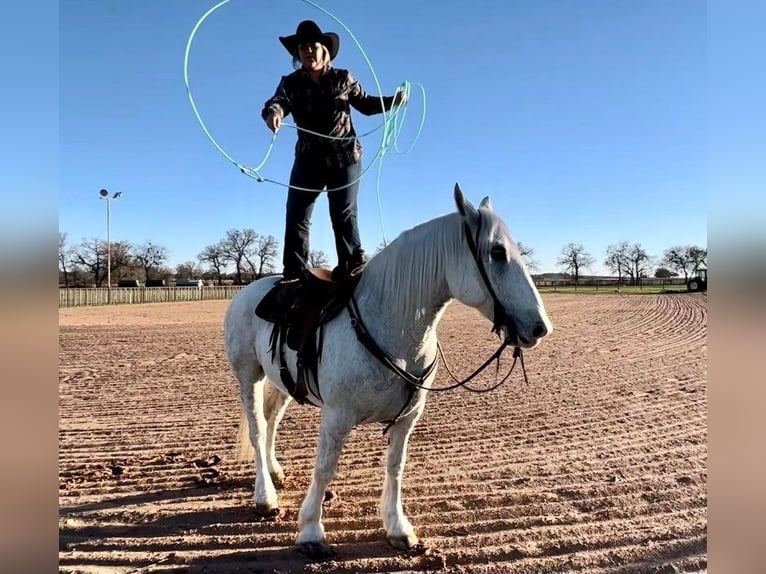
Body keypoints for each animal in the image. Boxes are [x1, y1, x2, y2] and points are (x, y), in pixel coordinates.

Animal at [225, 187, 556, 560]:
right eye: (497, 252)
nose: (540, 327)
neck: (387, 322)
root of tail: (252, 290)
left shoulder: (408, 417)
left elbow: (395, 467)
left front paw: (398, 528)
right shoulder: (337, 416)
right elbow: (325, 468)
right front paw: (311, 530)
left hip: (283, 383)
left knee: (271, 423)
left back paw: (274, 472)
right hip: (248, 375)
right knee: (257, 428)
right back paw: (265, 495)